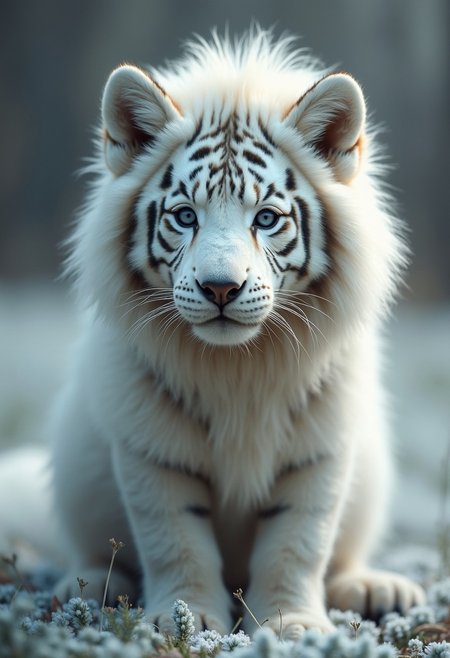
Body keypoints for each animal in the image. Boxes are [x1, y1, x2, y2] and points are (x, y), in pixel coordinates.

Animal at [50, 29, 424, 638]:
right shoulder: (150, 445)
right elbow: (174, 539)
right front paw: (183, 620)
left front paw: (293, 625)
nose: (221, 287)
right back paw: (89, 594)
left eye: (266, 219)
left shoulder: (321, 447)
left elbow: (298, 543)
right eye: (184, 216)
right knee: (95, 552)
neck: (238, 368)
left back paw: (375, 588)